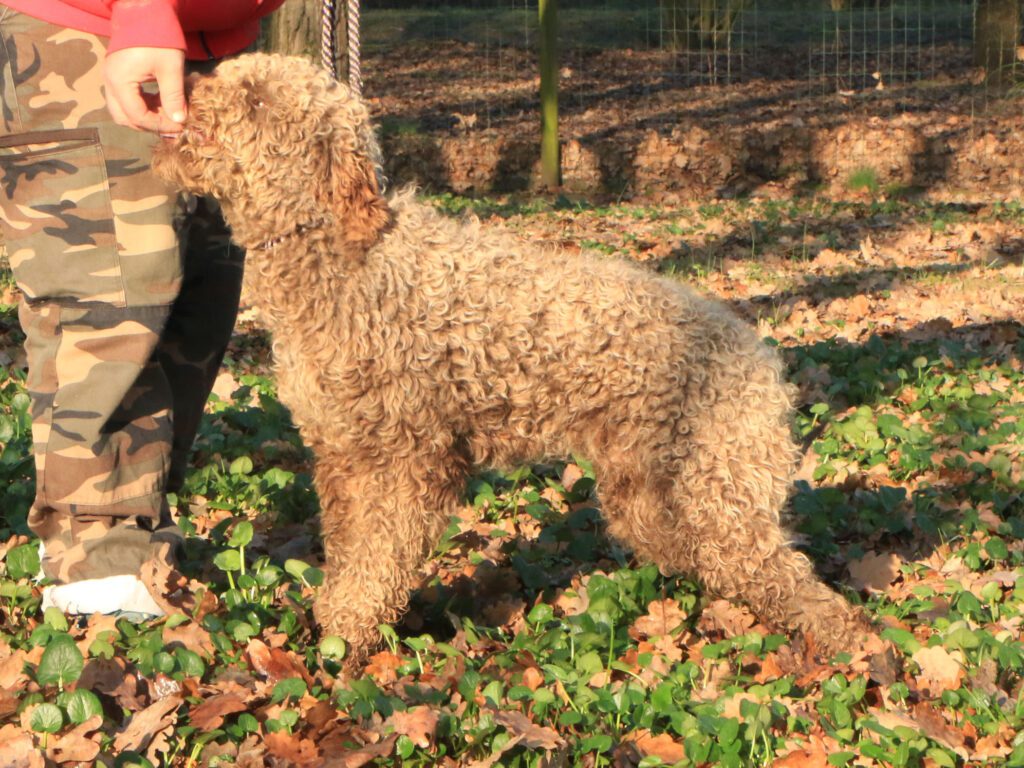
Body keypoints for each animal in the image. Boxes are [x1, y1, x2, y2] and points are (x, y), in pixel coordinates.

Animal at [151, 52, 872, 667]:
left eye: (255, 96)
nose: (179, 80)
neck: (346, 257)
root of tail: (762, 356)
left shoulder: (403, 460)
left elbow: (377, 562)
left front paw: (346, 642)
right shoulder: (343, 457)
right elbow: (352, 553)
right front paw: (334, 624)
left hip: (714, 486)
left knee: (796, 585)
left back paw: (853, 657)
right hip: (654, 497)